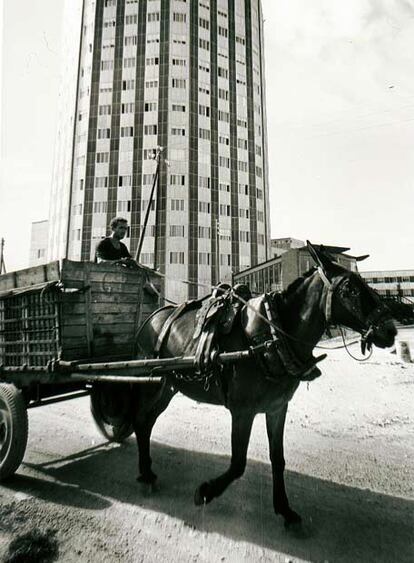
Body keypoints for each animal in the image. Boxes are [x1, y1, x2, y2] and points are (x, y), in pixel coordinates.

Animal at [131, 242, 396, 528]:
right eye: (349, 289)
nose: (390, 330)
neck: (271, 336)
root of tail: (152, 317)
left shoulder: (277, 407)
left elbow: (277, 458)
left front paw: (284, 508)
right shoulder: (242, 411)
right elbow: (238, 463)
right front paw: (206, 491)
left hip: (167, 386)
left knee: (146, 422)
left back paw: (147, 471)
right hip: (151, 383)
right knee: (141, 421)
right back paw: (145, 472)